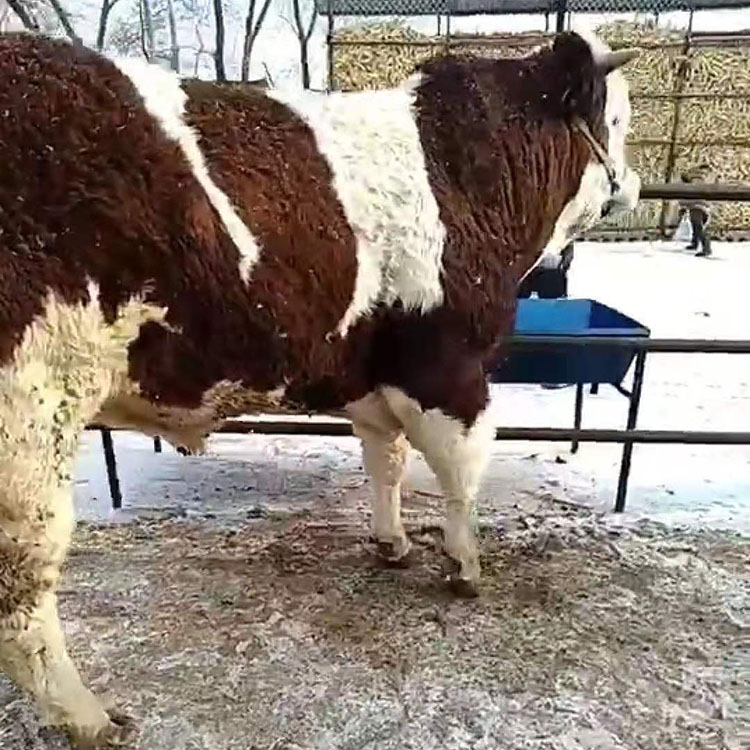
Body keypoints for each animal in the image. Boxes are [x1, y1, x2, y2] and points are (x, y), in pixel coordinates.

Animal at [0, 30, 639, 748]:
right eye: (618, 121)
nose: (637, 184)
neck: (463, 175)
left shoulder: (372, 377)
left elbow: (386, 463)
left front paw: (393, 543)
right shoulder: (446, 369)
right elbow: (461, 473)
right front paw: (464, 563)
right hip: (30, 426)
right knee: (21, 589)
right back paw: (91, 717)